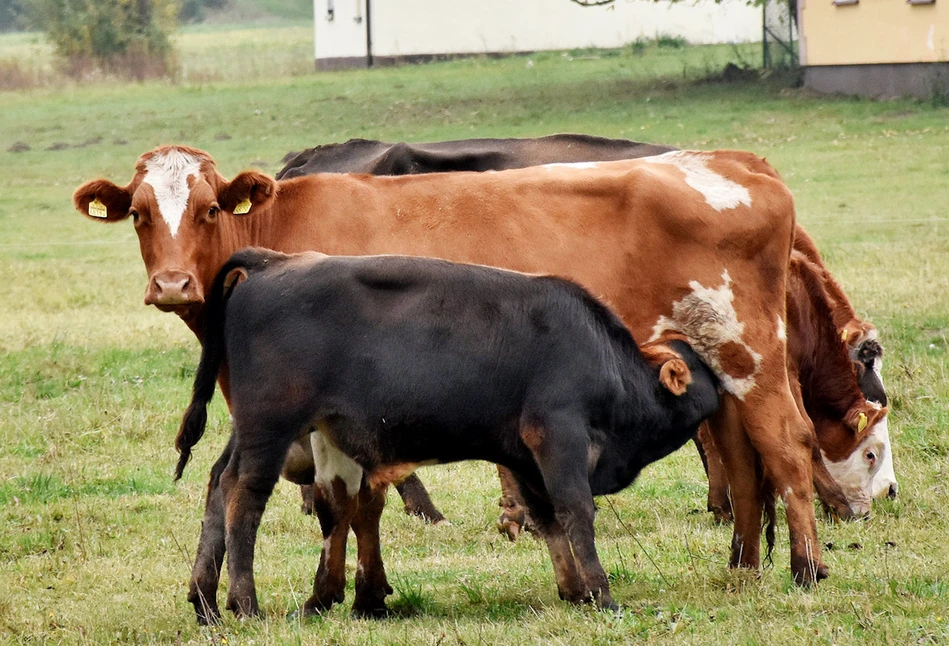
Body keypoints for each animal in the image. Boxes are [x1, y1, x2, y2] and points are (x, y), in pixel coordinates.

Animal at [172, 249, 720, 624]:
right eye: (702, 372)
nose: (724, 386)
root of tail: (272, 261)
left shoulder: (523, 454)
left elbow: (546, 517)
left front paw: (573, 591)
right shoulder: (557, 432)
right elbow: (576, 511)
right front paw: (602, 595)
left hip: (261, 431)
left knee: (220, 484)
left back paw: (206, 602)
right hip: (270, 428)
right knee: (243, 496)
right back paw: (244, 602)